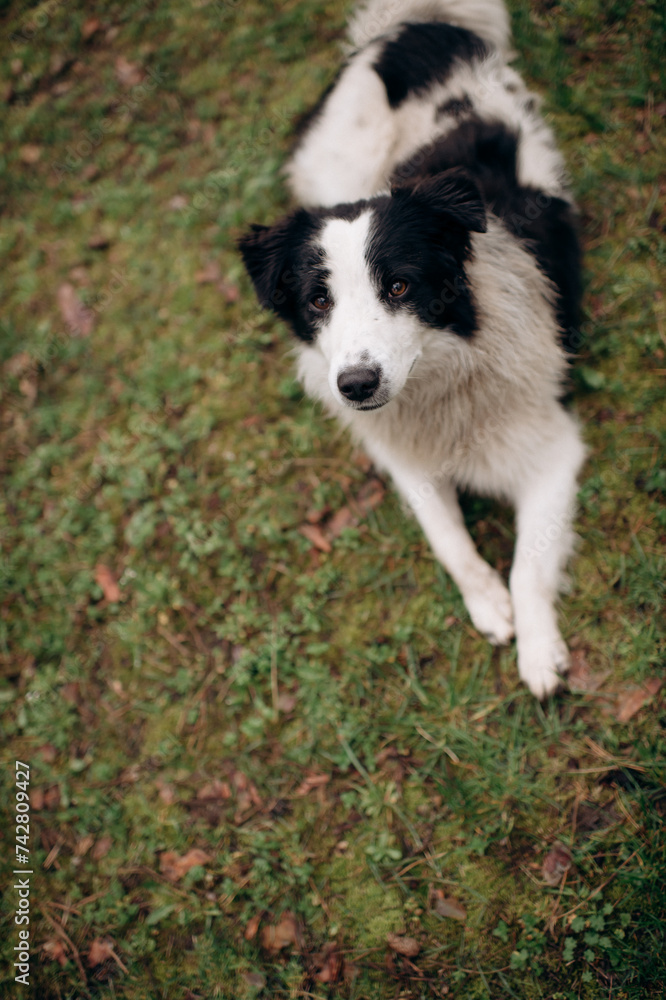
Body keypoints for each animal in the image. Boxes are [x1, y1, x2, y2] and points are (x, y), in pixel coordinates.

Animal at [237, 0, 580, 700]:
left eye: (399, 286)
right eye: (318, 301)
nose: (356, 386)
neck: (442, 381)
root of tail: (418, 25)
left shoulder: (554, 450)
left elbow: (528, 563)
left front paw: (538, 652)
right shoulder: (406, 458)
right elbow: (446, 537)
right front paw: (488, 604)